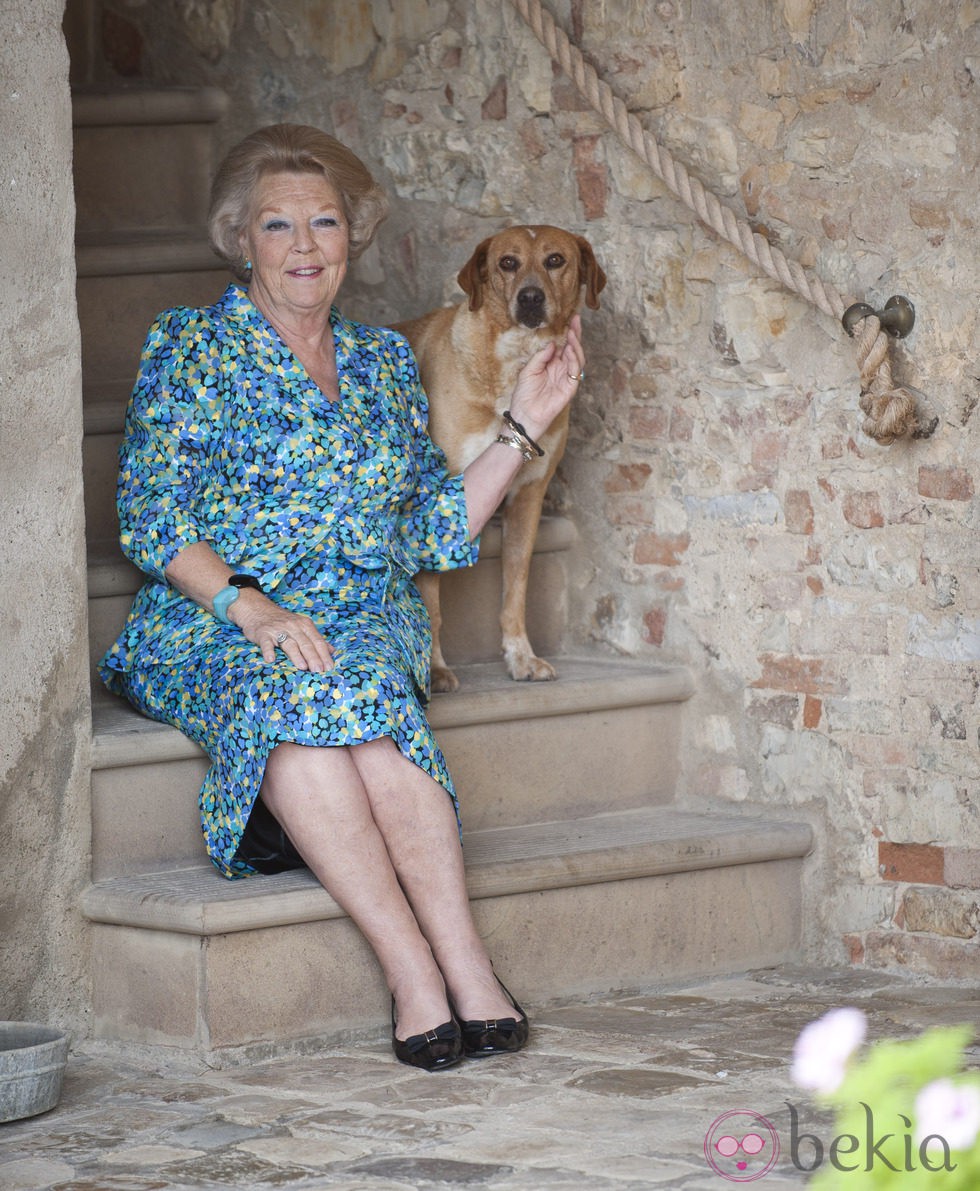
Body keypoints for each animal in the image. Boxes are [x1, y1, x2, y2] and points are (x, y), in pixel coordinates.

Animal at [397, 225, 604, 690]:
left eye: (555, 260)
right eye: (507, 263)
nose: (529, 298)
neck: (515, 362)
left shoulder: (528, 498)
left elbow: (516, 589)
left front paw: (520, 656)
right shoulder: (436, 498)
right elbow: (431, 603)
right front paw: (434, 670)